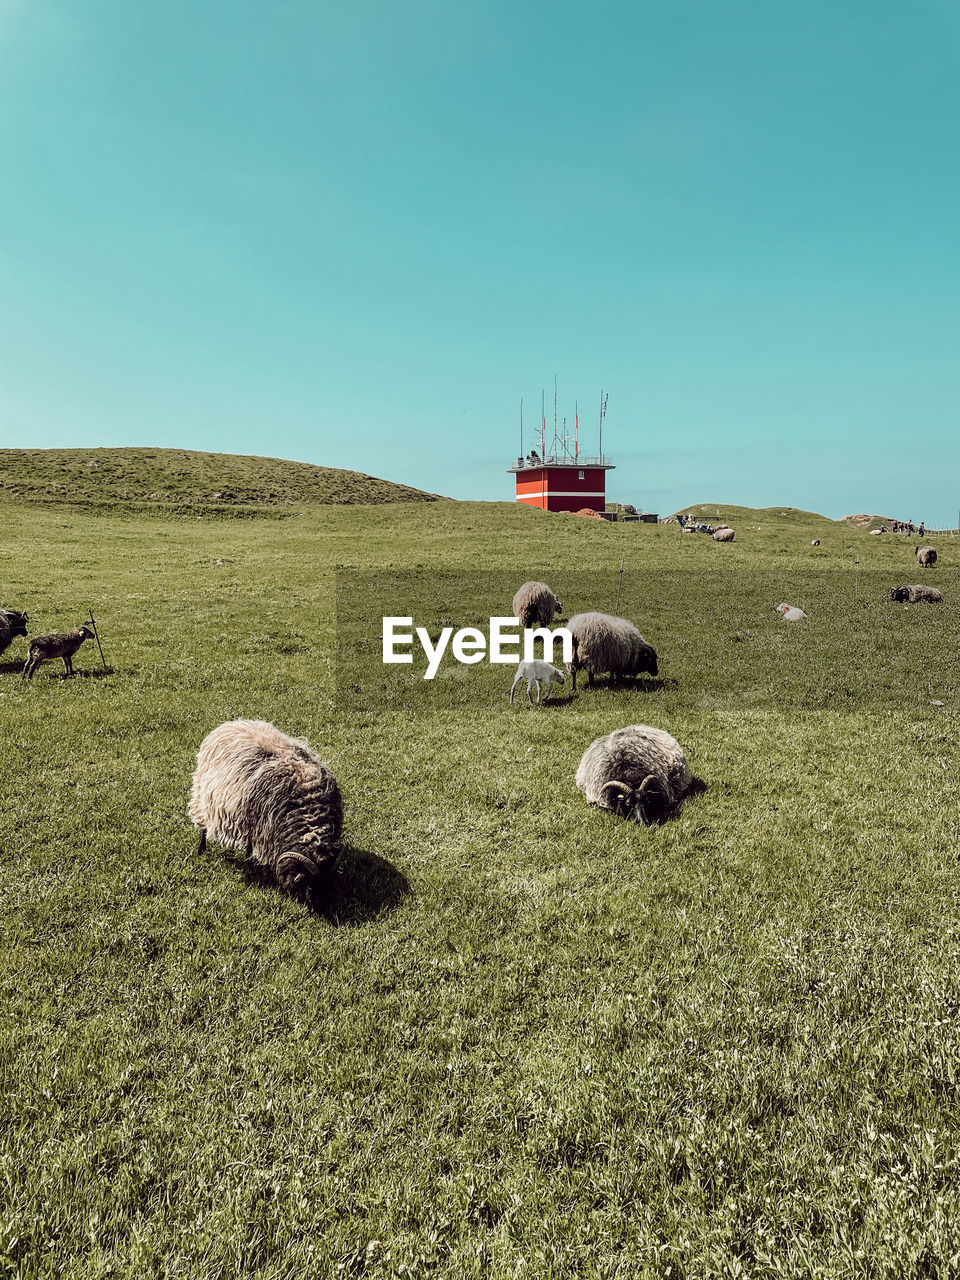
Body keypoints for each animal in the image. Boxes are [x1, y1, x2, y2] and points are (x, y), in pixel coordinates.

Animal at [188, 721, 343, 901]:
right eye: (311, 885)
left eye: (325, 884)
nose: (311, 906)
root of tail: (231, 723)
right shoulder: (256, 826)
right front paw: (252, 869)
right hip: (202, 795)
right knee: (203, 826)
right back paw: (201, 849)